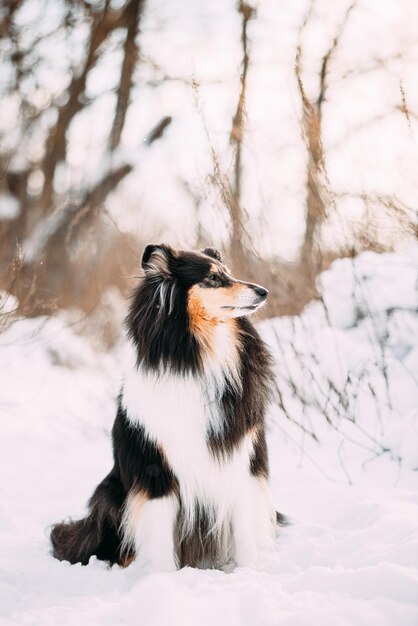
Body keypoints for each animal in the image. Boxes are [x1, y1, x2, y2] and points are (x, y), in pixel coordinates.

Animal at [50, 244, 282, 572]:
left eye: (227, 273)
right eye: (212, 278)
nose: (263, 292)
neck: (199, 359)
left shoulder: (241, 461)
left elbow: (244, 529)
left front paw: (248, 571)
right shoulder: (155, 470)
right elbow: (159, 535)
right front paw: (162, 577)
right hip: (110, 494)